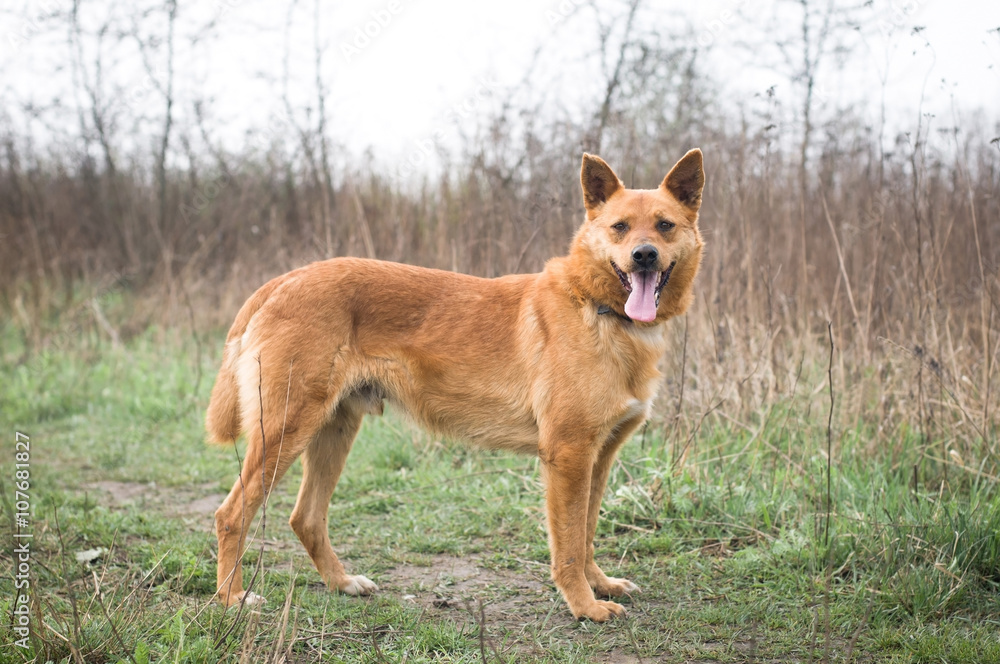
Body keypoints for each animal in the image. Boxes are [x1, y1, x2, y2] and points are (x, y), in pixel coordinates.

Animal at [205, 148, 704, 620]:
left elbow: (587, 534)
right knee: (232, 514)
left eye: (664, 225)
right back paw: (231, 598)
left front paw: (599, 584)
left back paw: (341, 582)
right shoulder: (568, 455)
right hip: (286, 431)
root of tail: (283, 280)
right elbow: (569, 545)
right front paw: (583, 605)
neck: (598, 308)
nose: (644, 255)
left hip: (333, 430)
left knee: (305, 518)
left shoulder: (597, 459)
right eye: (620, 228)